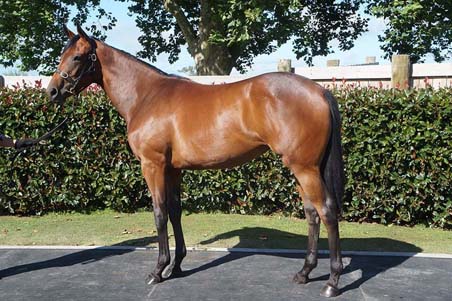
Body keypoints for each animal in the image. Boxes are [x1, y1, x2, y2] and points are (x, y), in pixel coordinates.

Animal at [47, 24, 344, 296]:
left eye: (77, 57)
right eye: (63, 54)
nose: (52, 92)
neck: (146, 96)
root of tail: (320, 91)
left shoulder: (153, 165)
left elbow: (159, 213)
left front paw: (158, 270)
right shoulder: (173, 170)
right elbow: (175, 212)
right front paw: (176, 265)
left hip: (305, 169)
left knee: (327, 211)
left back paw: (332, 282)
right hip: (302, 169)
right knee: (312, 214)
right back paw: (304, 273)